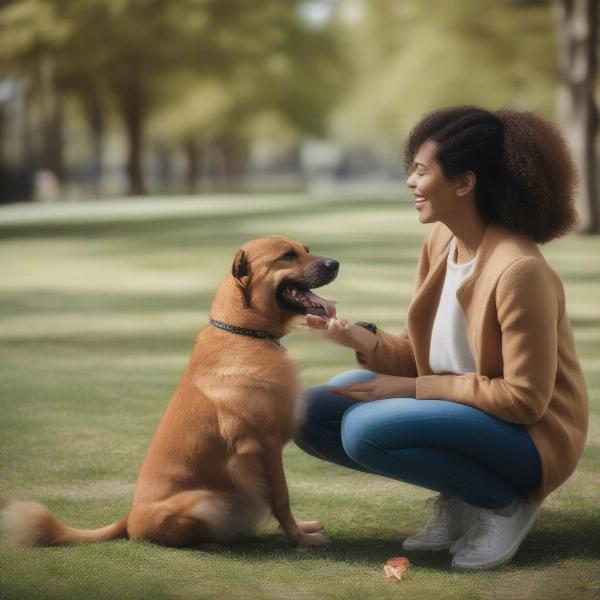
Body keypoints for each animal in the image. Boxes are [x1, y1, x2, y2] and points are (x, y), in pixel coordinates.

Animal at [3, 234, 338, 548]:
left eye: (306, 250)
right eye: (288, 255)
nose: (335, 263)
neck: (243, 334)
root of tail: (129, 517)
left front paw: (301, 528)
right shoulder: (265, 446)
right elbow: (282, 498)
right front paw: (300, 539)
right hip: (207, 503)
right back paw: (212, 542)